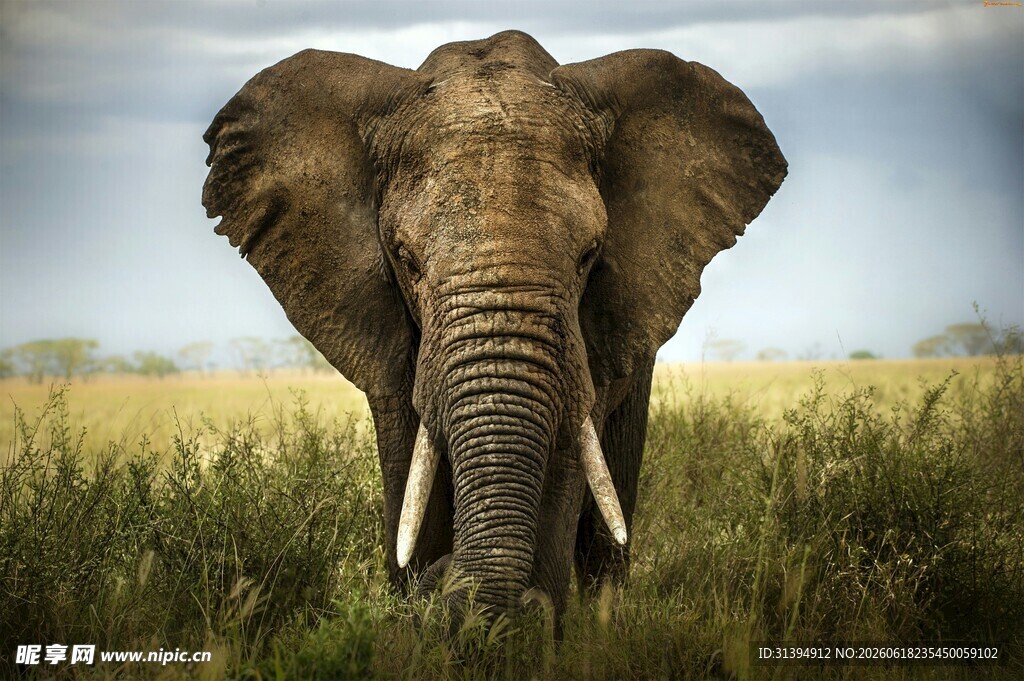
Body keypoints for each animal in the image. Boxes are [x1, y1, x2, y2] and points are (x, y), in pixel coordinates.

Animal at [202, 30, 786, 624]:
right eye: (406, 260)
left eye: (589, 256)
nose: (443, 580)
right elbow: (410, 470)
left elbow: (564, 463)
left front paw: (524, 626)